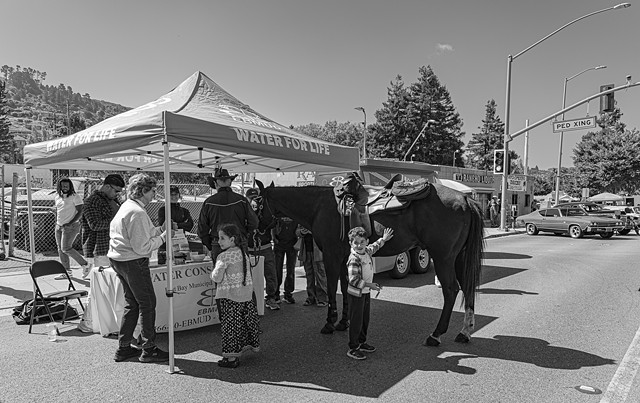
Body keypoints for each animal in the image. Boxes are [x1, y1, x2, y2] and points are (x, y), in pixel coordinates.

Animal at [252, 180, 482, 348]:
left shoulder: (331, 255)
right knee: (467, 287)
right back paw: (465, 332)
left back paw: (436, 335)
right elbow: (346, 288)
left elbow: (332, 288)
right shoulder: (344, 256)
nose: (257, 227)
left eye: (257, 204)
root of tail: (464, 198)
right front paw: (344, 322)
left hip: (443, 257)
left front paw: (330, 323)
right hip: (458, 257)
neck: (319, 206)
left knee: (451, 290)